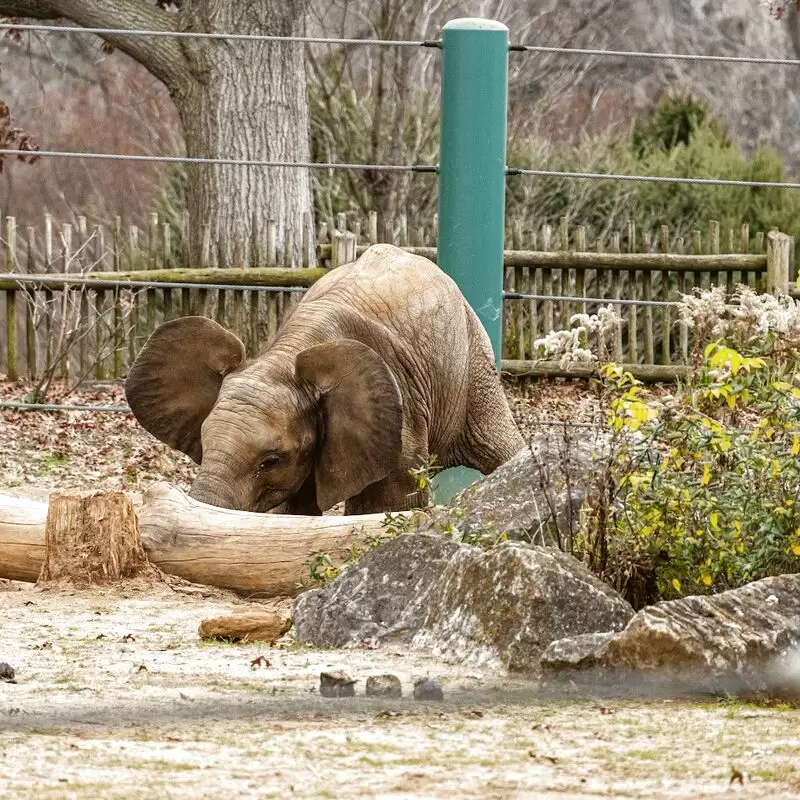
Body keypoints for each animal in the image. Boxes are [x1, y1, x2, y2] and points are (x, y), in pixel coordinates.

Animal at [125, 241, 524, 516]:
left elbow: (390, 503)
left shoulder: (400, 407)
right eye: (204, 446)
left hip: (473, 363)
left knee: (499, 446)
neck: (285, 357)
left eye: (271, 461)